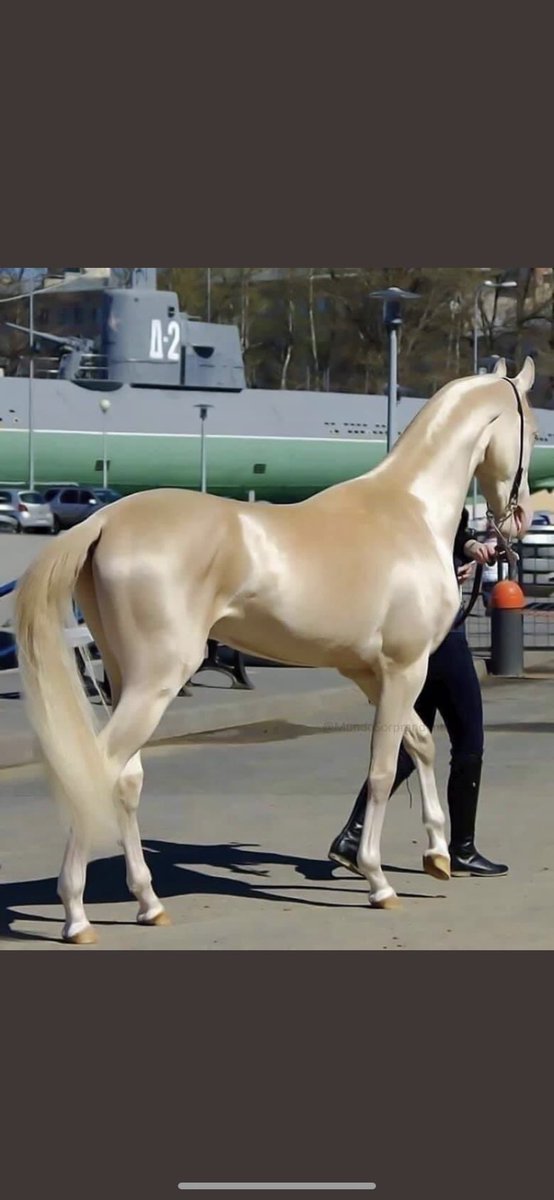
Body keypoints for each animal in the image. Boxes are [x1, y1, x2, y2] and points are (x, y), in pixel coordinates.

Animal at [13, 356, 537, 944]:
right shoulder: (405, 670)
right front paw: (379, 881)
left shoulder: (372, 674)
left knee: (126, 780)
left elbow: (419, 746)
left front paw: (439, 853)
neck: (409, 511)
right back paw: (76, 916)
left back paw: (148, 903)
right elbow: (382, 770)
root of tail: (104, 520)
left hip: (127, 680)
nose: (518, 518)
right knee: (96, 771)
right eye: (534, 428)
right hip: (156, 682)